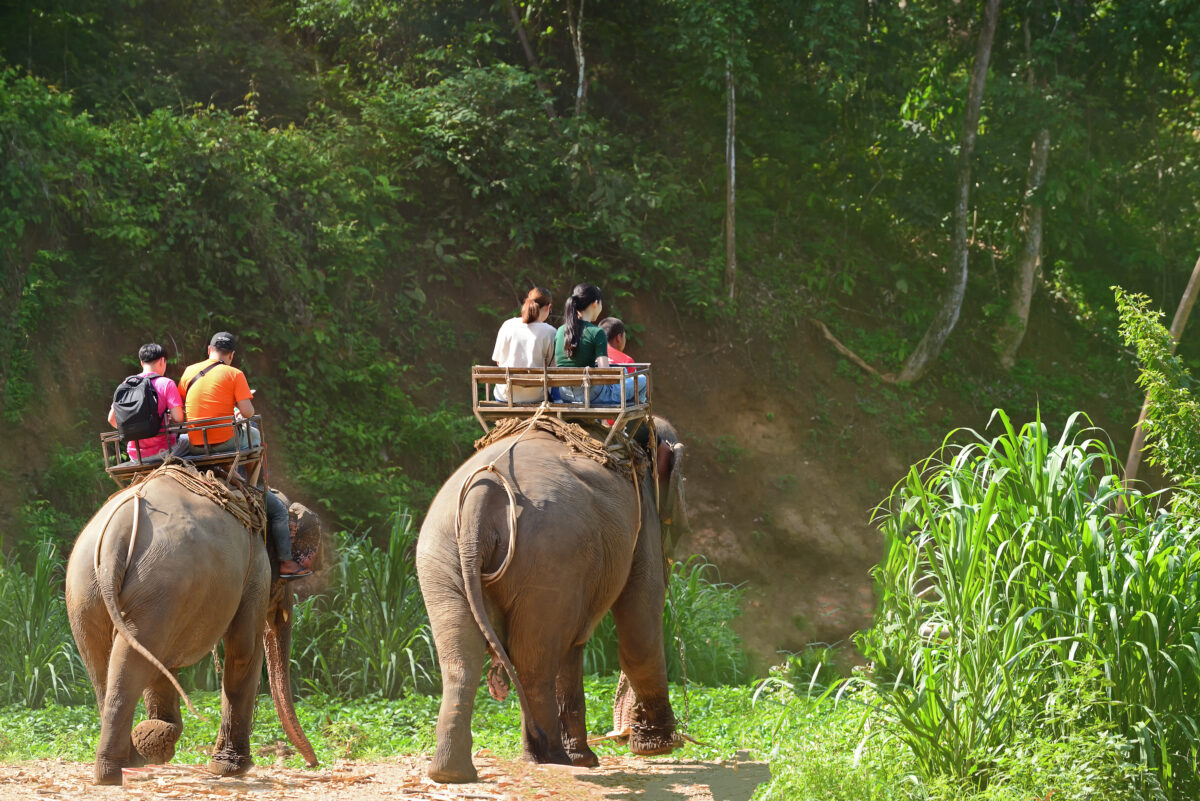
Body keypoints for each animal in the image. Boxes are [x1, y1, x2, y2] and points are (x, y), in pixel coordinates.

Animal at [65, 470, 322, 786]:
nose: (312, 764)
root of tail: (116, 536)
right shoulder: (256, 569)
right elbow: (243, 651)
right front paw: (230, 768)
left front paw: (158, 737)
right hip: (159, 582)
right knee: (134, 660)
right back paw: (118, 770)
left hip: (87, 589)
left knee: (109, 663)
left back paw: (132, 758)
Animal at [416, 416, 689, 783]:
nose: (622, 734)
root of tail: (482, 493)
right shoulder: (643, 511)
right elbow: (640, 622)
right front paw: (659, 748)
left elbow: (575, 645)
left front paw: (588, 759)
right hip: (550, 556)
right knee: (535, 662)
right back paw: (549, 759)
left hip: (442, 556)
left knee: (462, 658)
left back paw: (453, 773)